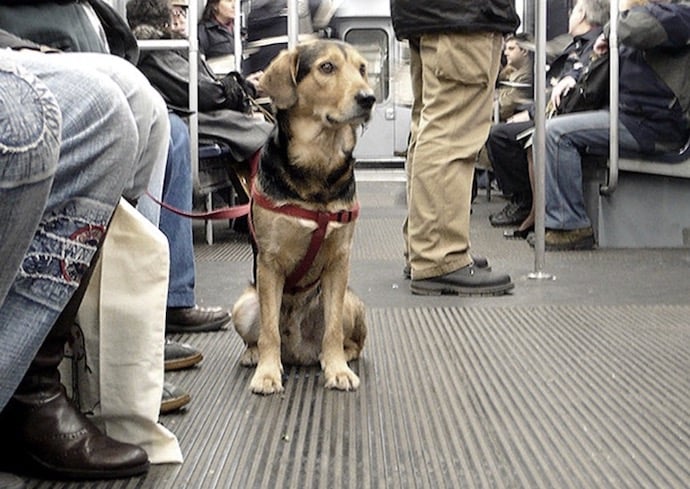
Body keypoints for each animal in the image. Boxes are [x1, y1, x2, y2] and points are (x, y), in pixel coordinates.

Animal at [231, 40, 374, 394]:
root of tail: (297, 352)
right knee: (258, 336)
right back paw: (253, 355)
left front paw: (337, 370)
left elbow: (333, 330)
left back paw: (337, 357)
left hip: (350, 302)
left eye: (362, 68)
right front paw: (267, 374)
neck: (318, 165)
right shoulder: (270, 263)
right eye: (327, 67)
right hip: (243, 305)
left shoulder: (338, 261)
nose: (369, 98)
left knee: (349, 340)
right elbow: (269, 331)